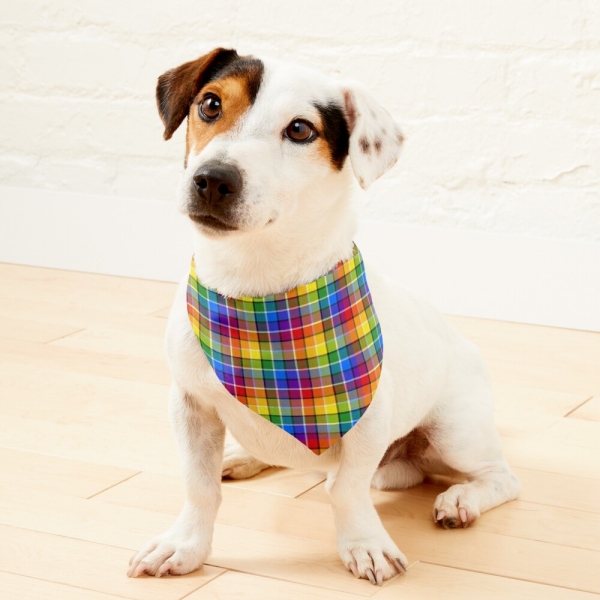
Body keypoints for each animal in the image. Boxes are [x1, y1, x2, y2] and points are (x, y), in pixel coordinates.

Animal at [127, 48, 520, 584]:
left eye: (299, 130)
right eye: (210, 104)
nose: (213, 179)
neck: (257, 289)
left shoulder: (369, 420)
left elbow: (347, 490)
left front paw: (365, 544)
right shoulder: (190, 405)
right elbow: (199, 486)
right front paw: (185, 545)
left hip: (456, 432)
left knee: (500, 477)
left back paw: (461, 499)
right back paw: (243, 457)